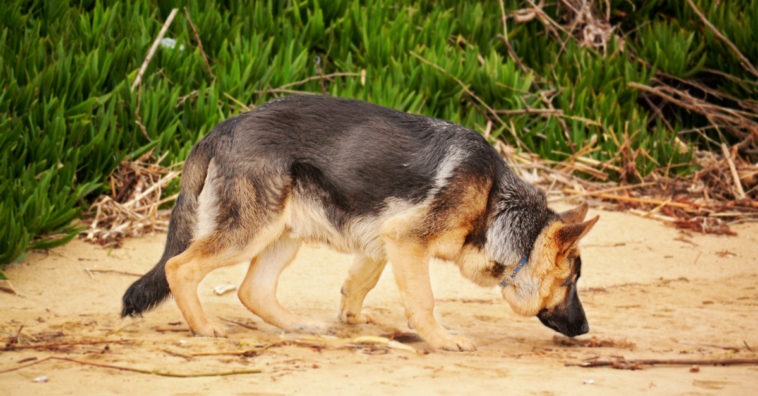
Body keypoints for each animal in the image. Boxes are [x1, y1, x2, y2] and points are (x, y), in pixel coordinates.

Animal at [123, 94, 600, 352]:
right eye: (570, 283)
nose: (586, 329)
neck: (495, 203)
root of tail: (219, 130)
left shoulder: (384, 241)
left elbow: (359, 284)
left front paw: (351, 319)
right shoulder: (407, 242)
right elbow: (424, 301)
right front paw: (441, 339)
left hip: (283, 235)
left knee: (251, 290)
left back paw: (299, 325)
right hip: (247, 234)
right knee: (178, 267)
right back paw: (203, 328)